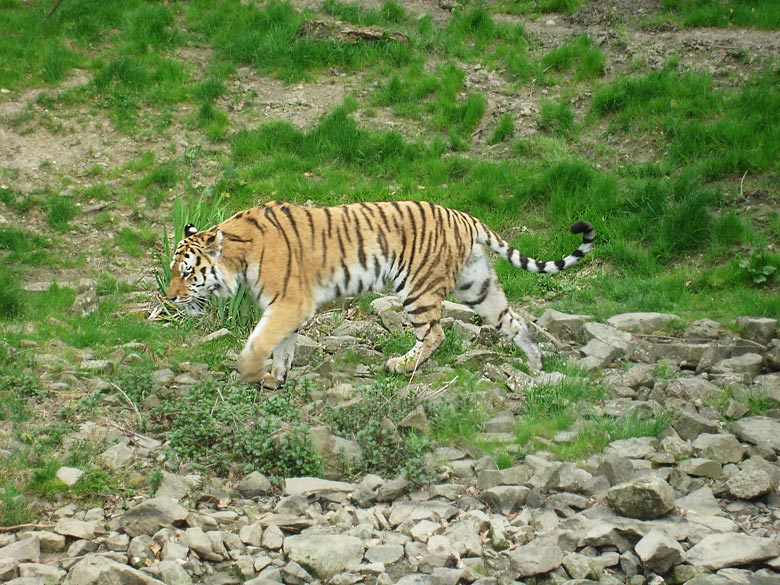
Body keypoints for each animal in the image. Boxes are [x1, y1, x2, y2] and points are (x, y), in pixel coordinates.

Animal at [163, 201, 592, 388]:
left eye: (187, 272)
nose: (169, 298)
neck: (239, 257)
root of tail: (464, 217)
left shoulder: (289, 303)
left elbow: (259, 341)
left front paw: (251, 372)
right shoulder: (284, 308)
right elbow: (281, 347)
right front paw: (275, 378)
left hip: (418, 287)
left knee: (435, 334)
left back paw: (399, 366)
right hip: (477, 286)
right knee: (513, 320)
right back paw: (535, 364)